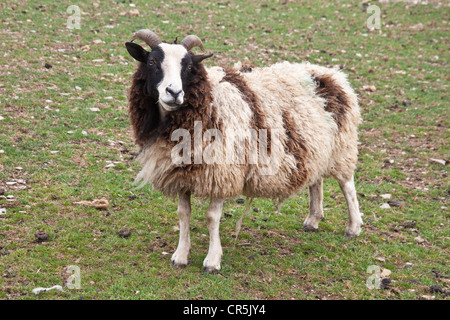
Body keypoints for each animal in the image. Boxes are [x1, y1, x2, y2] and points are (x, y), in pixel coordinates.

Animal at [125, 29, 364, 272]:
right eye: (152, 62)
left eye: (189, 66)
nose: (174, 92)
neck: (209, 101)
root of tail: (332, 74)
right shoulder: (182, 173)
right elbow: (184, 214)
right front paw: (180, 256)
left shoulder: (222, 171)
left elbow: (212, 217)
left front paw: (212, 261)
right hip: (317, 147)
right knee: (316, 181)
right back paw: (313, 220)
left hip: (342, 147)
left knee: (347, 186)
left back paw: (353, 227)